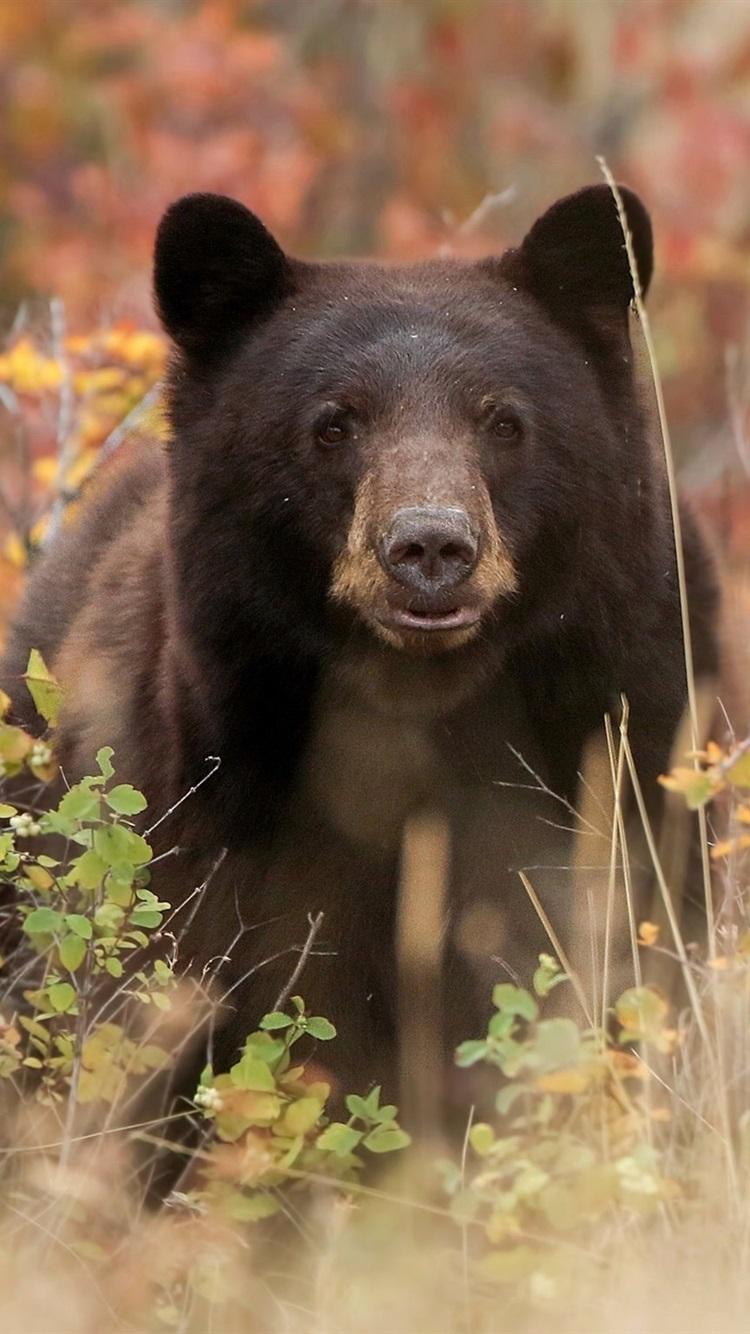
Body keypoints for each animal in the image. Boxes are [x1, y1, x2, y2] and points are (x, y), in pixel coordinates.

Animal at [0, 184, 721, 1118]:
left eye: (503, 420)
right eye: (333, 424)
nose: (430, 546)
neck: (422, 717)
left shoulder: (638, 754)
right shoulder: (203, 825)